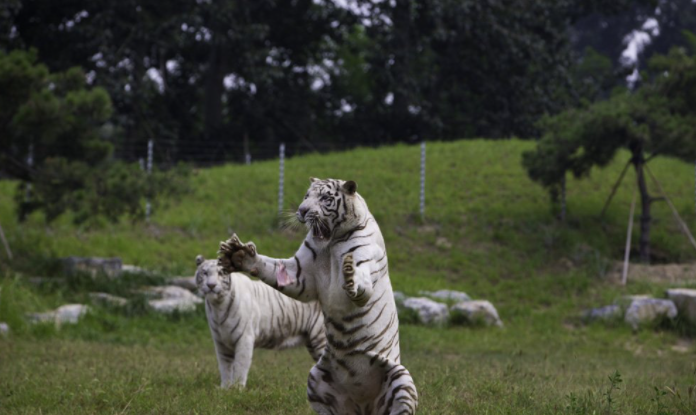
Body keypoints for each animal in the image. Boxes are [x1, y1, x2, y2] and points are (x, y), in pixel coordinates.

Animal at [196, 255, 326, 388]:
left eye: (221, 273)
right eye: (205, 273)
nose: (211, 285)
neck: (218, 306)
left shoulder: (244, 339)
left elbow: (240, 366)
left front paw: (236, 389)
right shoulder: (221, 342)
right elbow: (225, 367)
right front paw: (225, 388)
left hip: (320, 336)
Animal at [218, 179, 416, 415]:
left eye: (324, 198)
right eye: (306, 196)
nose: (302, 211)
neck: (331, 244)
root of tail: (364, 406)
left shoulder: (366, 259)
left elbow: (360, 279)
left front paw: (350, 275)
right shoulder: (298, 274)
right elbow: (271, 266)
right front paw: (239, 255)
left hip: (401, 378)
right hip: (316, 379)